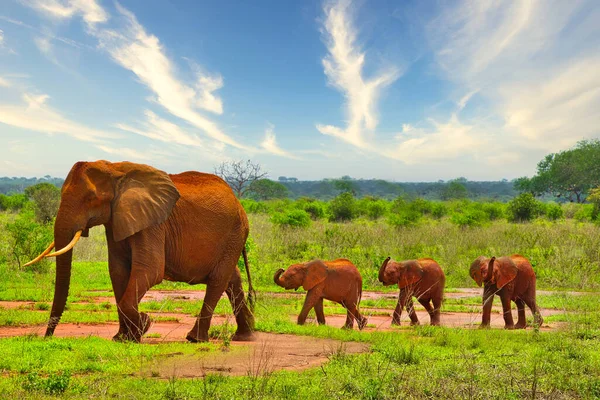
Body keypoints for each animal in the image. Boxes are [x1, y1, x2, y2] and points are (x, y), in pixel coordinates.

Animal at [25, 161, 255, 342]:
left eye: (90, 198)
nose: (46, 337)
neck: (114, 169)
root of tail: (237, 201)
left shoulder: (153, 224)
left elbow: (149, 270)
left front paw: (144, 324)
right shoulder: (115, 219)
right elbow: (117, 272)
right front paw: (123, 337)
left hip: (235, 232)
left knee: (218, 280)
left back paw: (195, 338)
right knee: (232, 279)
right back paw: (245, 336)